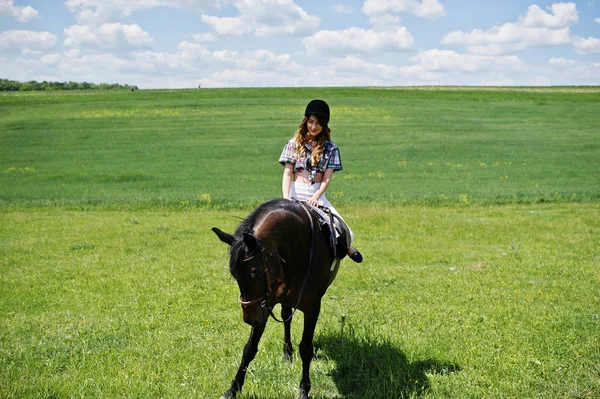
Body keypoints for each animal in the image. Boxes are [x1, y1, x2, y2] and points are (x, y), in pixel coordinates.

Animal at [213, 200, 340, 399]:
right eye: (234, 274)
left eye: (255, 273)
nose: (249, 319)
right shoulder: (264, 304)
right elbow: (249, 348)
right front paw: (233, 389)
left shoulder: (312, 306)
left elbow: (306, 348)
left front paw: (304, 389)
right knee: (286, 317)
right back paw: (287, 353)